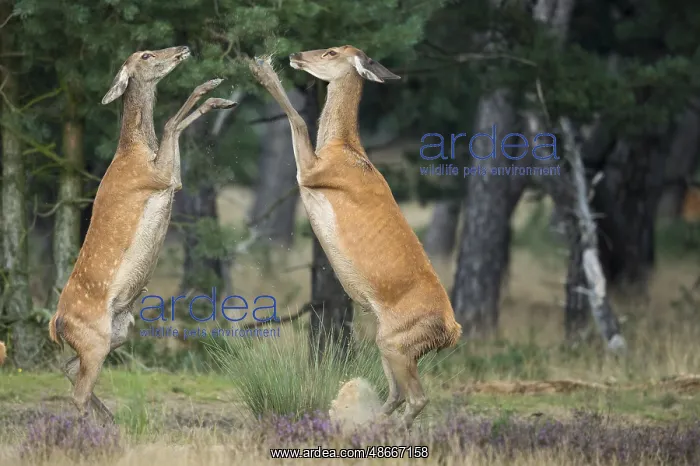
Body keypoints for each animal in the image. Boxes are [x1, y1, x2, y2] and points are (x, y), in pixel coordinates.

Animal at [47, 46, 237, 422]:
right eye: (146, 55)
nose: (181, 48)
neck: (135, 151)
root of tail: (57, 322)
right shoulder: (158, 178)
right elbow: (169, 123)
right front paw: (210, 85)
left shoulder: (171, 180)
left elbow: (174, 125)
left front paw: (220, 98)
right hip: (96, 337)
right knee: (78, 391)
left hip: (119, 330)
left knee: (69, 367)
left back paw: (110, 418)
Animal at [247, 46, 463, 429]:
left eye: (332, 51)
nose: (297, 54)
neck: (342, 148)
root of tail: (452, 331)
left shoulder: (313, 171)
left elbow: (299, 121)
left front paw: (261, 69)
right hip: (390, 342)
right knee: (396, 393)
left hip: (397, 341)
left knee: (417, 397)